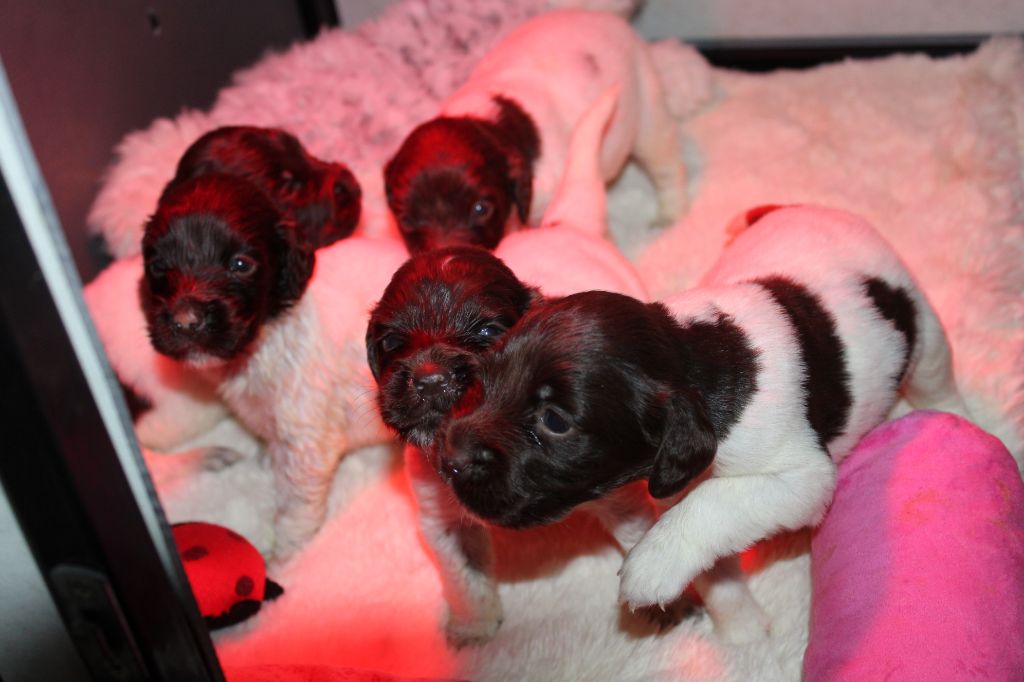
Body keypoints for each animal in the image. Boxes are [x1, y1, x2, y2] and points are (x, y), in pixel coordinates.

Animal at [144, 171, 407, 557]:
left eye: (240, 264)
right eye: (159, 266)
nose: (185, 321)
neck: (265, 338)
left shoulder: (307, 445)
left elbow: (294, 513)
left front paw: (284, 560)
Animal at [370, 87, 655, 647]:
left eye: (486, 333)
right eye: (390, 342)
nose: (430, 380)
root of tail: (565, 224)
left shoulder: (617, 492)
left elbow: (642, 542)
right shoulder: (442, 519)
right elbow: (464, 576)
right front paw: (475, 628)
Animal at [385, 8, 688, 251]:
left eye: (481, 209)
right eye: (406, 219)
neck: (488, 123)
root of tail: (606, 17)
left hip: (647, 108)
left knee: (667, 163)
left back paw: (670, 216)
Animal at [438, 204, 966, 638]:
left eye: (554, 420)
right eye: (484, 377)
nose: (450, 460)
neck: (690, 356)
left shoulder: (800, 478)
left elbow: (714, 503)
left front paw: (653, 563)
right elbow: (715, 563)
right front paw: (743, 632)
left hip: (923, 330)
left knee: (936, 377)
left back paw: (954, 417)